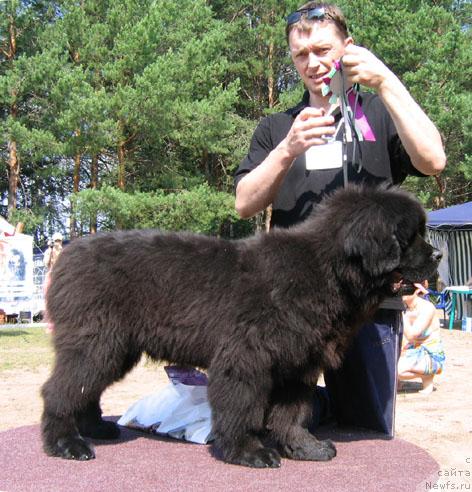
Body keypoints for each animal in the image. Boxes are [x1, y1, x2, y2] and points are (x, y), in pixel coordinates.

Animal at [40, 185, 442, 468]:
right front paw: (248, 452)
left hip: (114, 347)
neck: (325, 271)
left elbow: (292, 413)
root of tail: (68, 255)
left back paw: (95, 429)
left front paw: (305, 448)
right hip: (97, 340)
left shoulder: (298, 364)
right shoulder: (246, 357)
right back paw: (66, 444)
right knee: (60, 390)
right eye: (408, 236)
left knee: (84, 389)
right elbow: (243, 408)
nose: (439, 254)